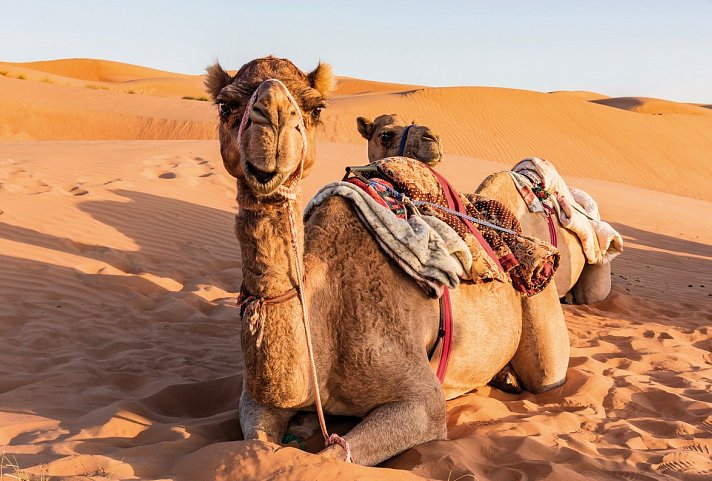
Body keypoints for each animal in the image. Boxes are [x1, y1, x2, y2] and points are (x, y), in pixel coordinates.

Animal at [207, 56, 572, 464]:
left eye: (315, 107)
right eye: (225, 104)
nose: (272, 119)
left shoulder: (422, 402)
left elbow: (328, 458)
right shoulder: (255, 399)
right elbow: (258, 445)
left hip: (541, 318)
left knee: (546, 374)